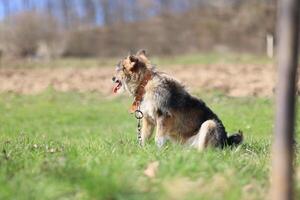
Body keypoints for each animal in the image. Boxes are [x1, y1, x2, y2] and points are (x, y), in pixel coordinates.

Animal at [111, 50, 243, 150]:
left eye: (119, 69)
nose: (112, 78)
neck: (145, 83)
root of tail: (226, 142)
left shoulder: (163, 117)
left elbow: (158, 139)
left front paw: (158, 152)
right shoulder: (148, 120)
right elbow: (143, 137)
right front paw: (142, 150)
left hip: (209, 124)